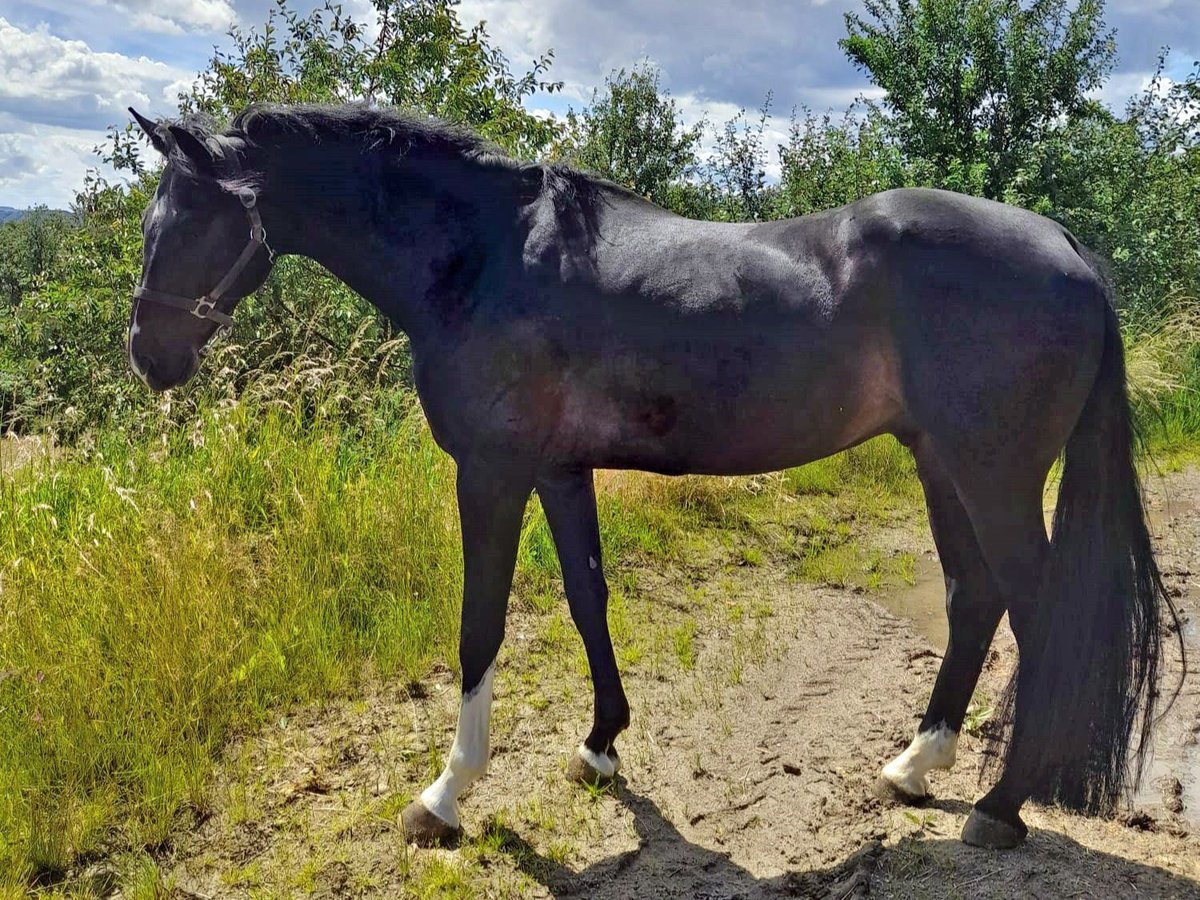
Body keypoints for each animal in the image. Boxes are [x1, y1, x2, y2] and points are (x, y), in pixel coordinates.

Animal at [126, 103, 1176, 854]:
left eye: (187, 220)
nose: (148, 354)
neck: (484, 258)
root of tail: (1069, 250)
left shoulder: (492, 473)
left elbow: (480, 626)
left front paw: (445, 794)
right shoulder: (559, 470)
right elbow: (586, 597)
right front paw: (600, 745)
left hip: (992, 476)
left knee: (1035, 611)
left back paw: (1001, 806)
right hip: (941, 463)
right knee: (973, 597)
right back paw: (915, 767)